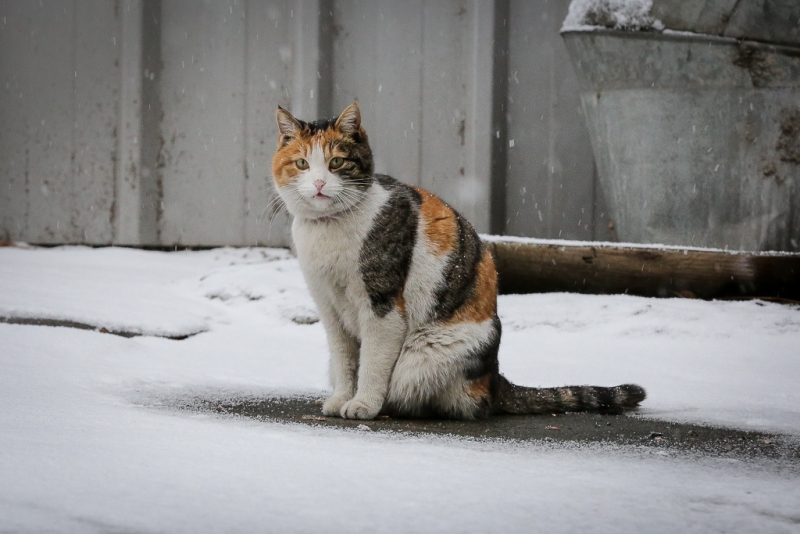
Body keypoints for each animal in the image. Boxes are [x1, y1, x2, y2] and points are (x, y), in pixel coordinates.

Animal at [270, 102, 644, 422]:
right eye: (302, 164)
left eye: (336, 163)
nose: (319, 184)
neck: (327, 230)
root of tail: (496, 377)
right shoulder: (329, 307)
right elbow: (345, 359)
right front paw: (341, 399)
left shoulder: (383, 305)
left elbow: (373, 361)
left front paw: (363, 404)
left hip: (425, 352)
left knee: (450, 400)